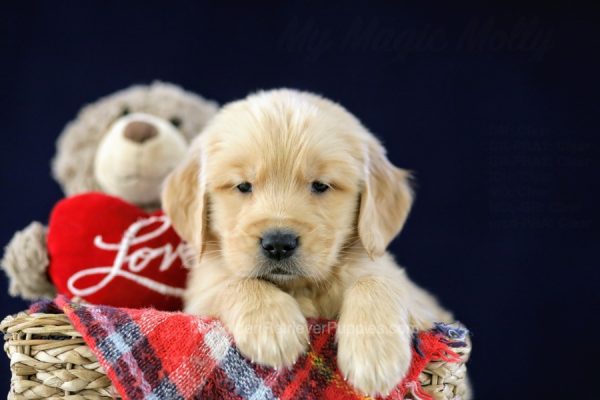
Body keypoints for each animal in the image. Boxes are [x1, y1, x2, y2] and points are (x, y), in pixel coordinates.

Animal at [161, 88, 450, 396]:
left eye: (321, 185)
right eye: (243, 186)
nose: (278, 243)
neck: (301, 287)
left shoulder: (421, 304)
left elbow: (376, 280)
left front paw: (375, 355)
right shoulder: (201, 297)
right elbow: (236, 281)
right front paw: (272, 326)